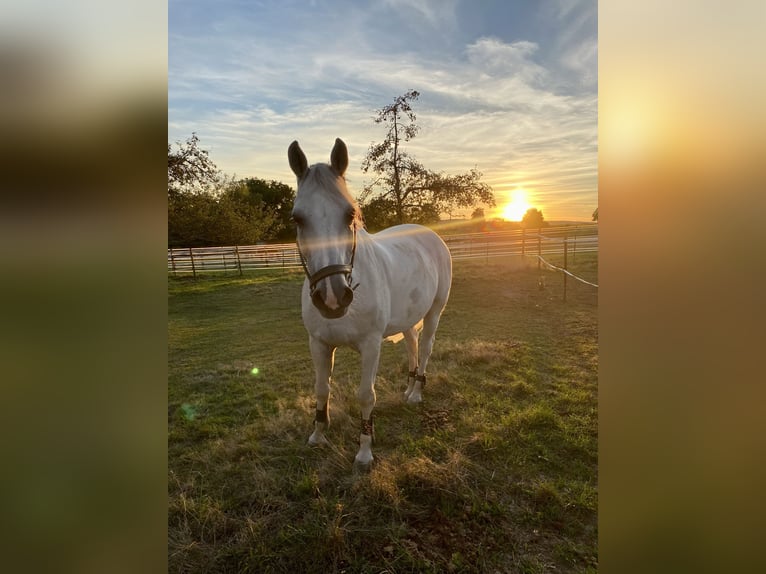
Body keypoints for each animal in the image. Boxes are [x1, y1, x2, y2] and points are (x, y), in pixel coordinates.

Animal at [292, 138, 452, 468]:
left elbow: (366, 395)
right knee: (411, 344)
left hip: (434, 312)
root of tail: (431, 235)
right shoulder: (319, 343)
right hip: (408, 318)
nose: (332, 297)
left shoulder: (371, 345)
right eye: (297, 218)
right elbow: (321, 389)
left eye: (349, 213)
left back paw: (416, 393)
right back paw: (408, 387)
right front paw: (317, 435)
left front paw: (364, 451)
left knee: (425, 348)